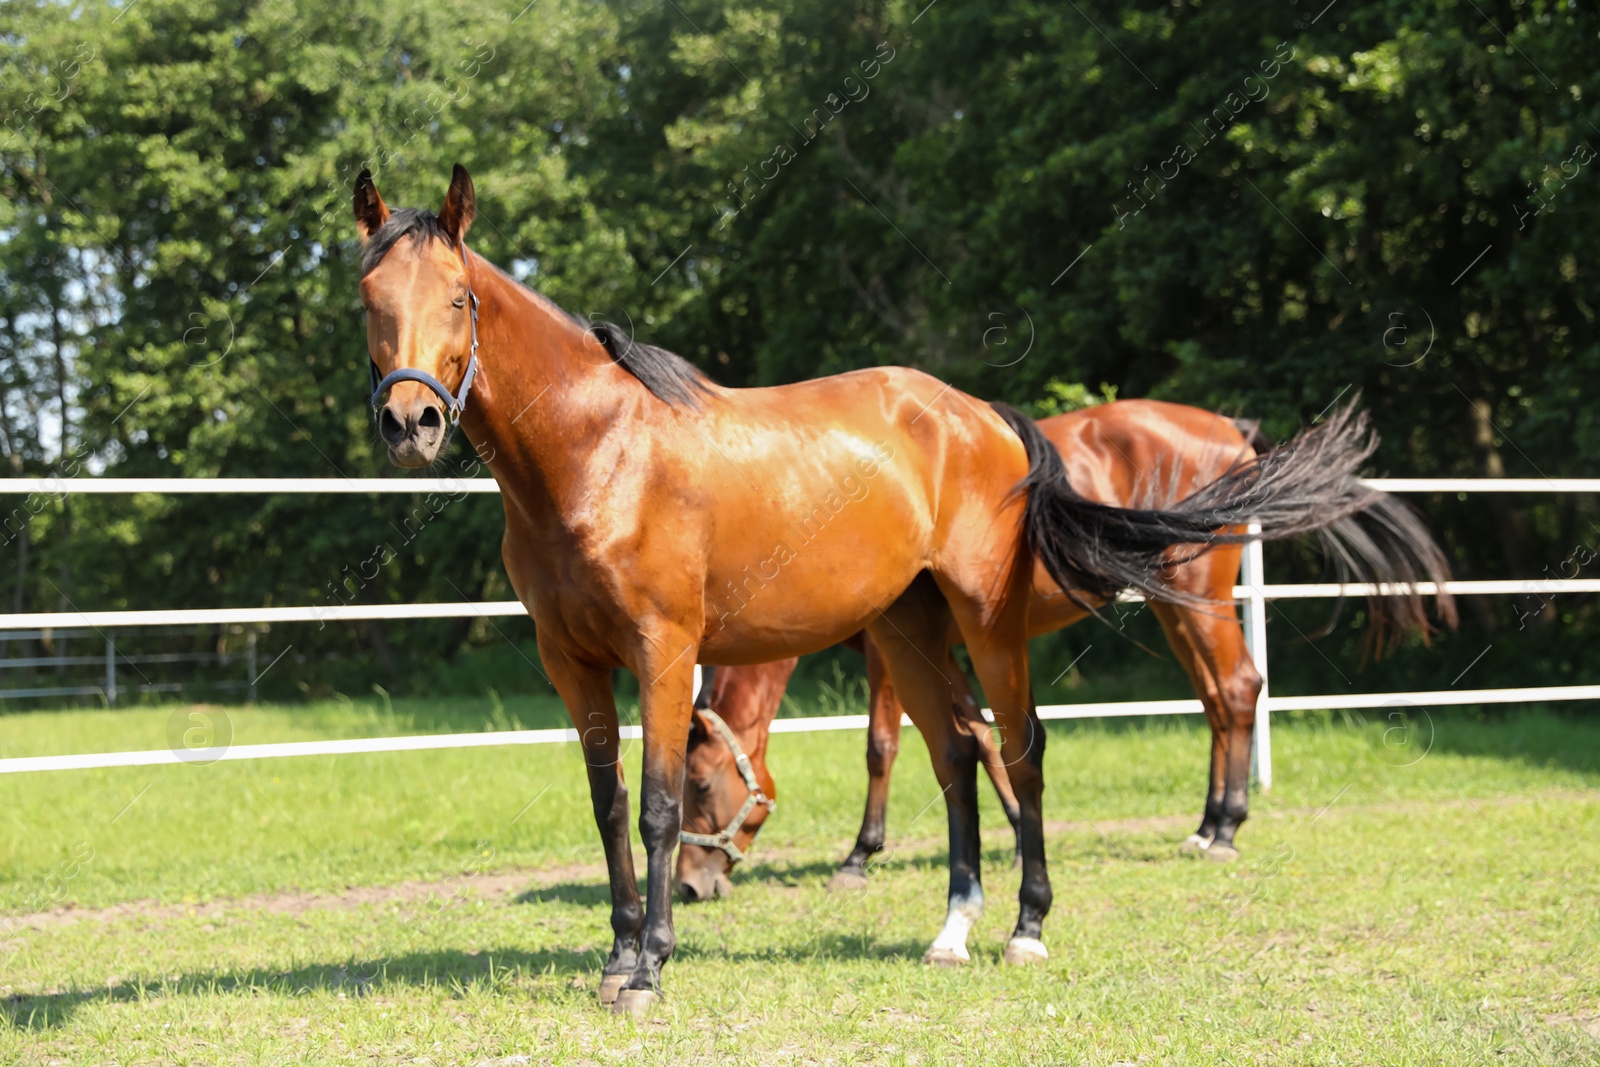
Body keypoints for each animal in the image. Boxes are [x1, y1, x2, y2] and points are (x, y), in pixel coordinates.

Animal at [675, 404, 1465, 908]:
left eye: (703, 786)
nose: (688, 884)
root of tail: (1233, 433)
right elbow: (981, 732)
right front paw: (1012, 827)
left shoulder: (888, 651)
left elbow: (882, 746)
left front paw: (859, 857)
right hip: (1174, 608)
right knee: (1217, 699)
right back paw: (1208, 822)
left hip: (1196, 598)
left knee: (1238, 687)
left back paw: (1227, 829)